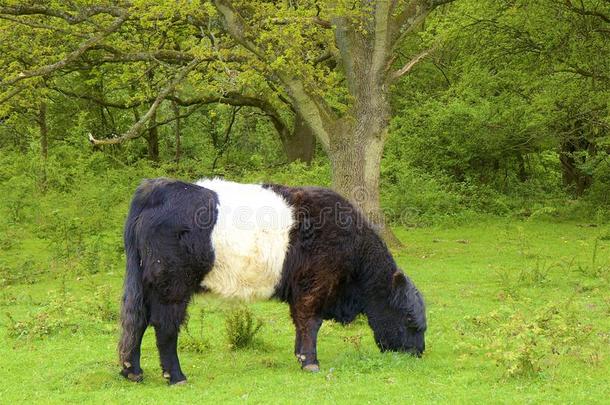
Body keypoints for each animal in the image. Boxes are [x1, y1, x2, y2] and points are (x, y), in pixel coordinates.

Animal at [117, 178, 422, 384]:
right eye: (409, 319)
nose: (418, 354)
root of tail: (157, 187)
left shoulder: (301, 289)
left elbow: (301, 323)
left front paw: (301, 357)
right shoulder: (314, 285)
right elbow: (310, 322)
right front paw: (311, 363)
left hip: (144, 284)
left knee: (138, 320)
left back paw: (132, 371)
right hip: (172, 287)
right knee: (164, 326)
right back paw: (176, 376)